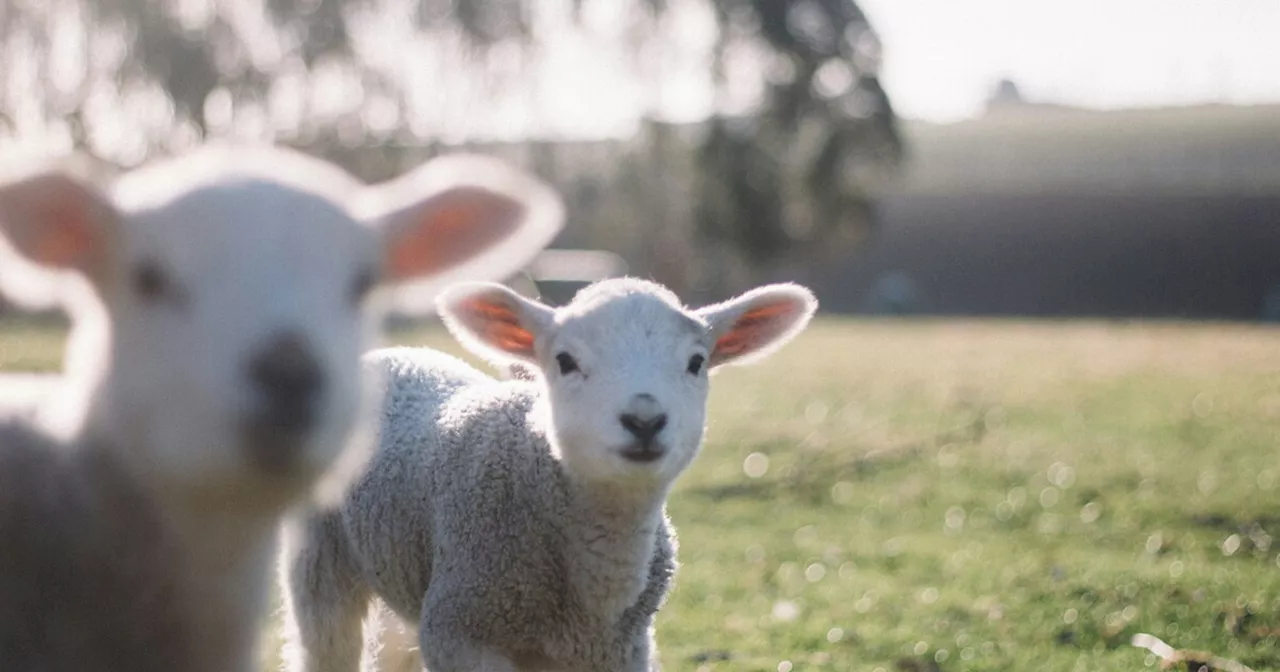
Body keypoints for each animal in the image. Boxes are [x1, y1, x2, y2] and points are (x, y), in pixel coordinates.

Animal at [281, 276, 819, 670]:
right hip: (320, 560)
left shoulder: (622, 649)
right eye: (565, 360)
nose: (644, 420)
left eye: (696, 362)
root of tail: (395, 353)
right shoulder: (462, 631)